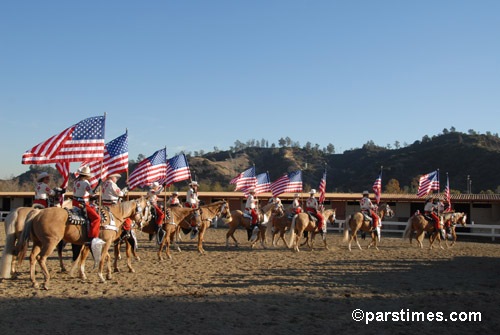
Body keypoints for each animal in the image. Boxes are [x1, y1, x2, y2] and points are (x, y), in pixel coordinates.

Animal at [15, 198, 147, 290]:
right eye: (145, 209)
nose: (142, 223)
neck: (113, 216)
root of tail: (38, 213)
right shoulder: (106, 242)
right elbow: (102, 258)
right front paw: (101, 277)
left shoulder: (91, 243)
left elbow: (96, 257)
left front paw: (90, 275)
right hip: (50, 242)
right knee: (41, 258)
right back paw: (46, 281)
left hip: (38, 242)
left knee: (32, 257)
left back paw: (34, 282)